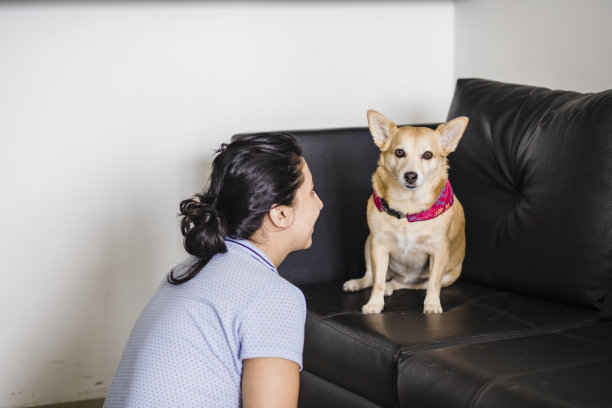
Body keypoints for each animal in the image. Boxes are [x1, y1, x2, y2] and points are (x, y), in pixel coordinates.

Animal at [342, 110, 466, 314]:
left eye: (428, 155)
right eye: (399, 152)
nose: (410, 176)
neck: (409, 207)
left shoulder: (439, 251)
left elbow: (434, 283)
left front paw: (432, 305)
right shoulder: (378, 246)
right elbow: (377, 282)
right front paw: (374, 304)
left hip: (446, 277)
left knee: (410, 284)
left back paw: (392, 286)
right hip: (368, 244)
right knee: (373, 277)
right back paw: (359, 283)